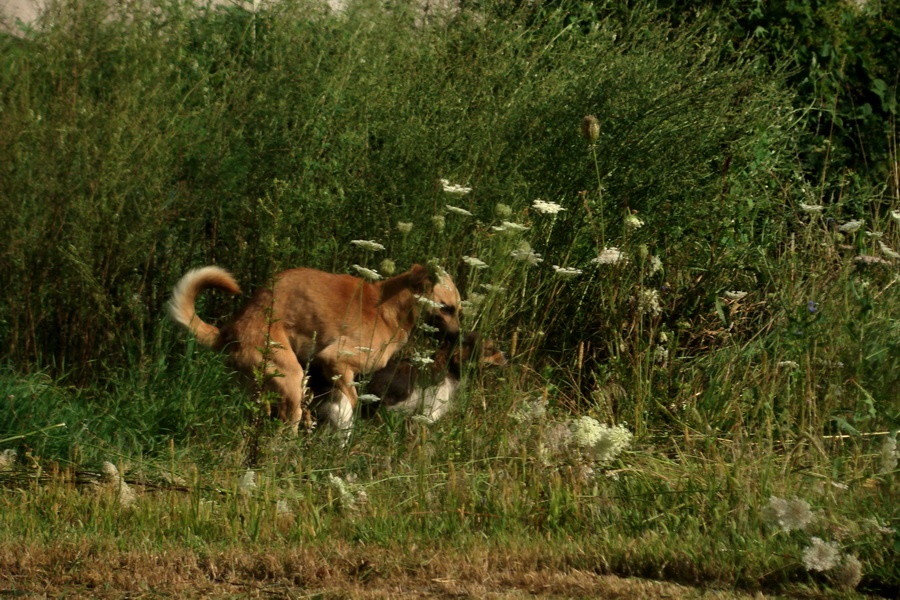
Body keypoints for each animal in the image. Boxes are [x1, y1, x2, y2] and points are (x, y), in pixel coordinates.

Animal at [169, 262, 460, 432]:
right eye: (447, 308)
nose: (458, 337)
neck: (386, 306)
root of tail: (230, 330)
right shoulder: (335, 361)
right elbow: (350, 403)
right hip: (291, 379)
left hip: (264, 387)